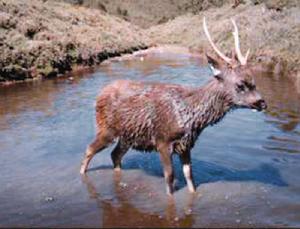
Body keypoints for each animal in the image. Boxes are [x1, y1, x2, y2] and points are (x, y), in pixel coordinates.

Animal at [79, 17, 268, 195]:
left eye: (254, 81)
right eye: (240, 85)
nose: (262, 103)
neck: (191, 117)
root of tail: (100, 94)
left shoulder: (186, 145)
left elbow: (190, 176)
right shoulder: (162, 141)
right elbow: (170, 177)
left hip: (127, 136)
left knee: (115, 155)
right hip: (107, 128)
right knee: (89, 149)